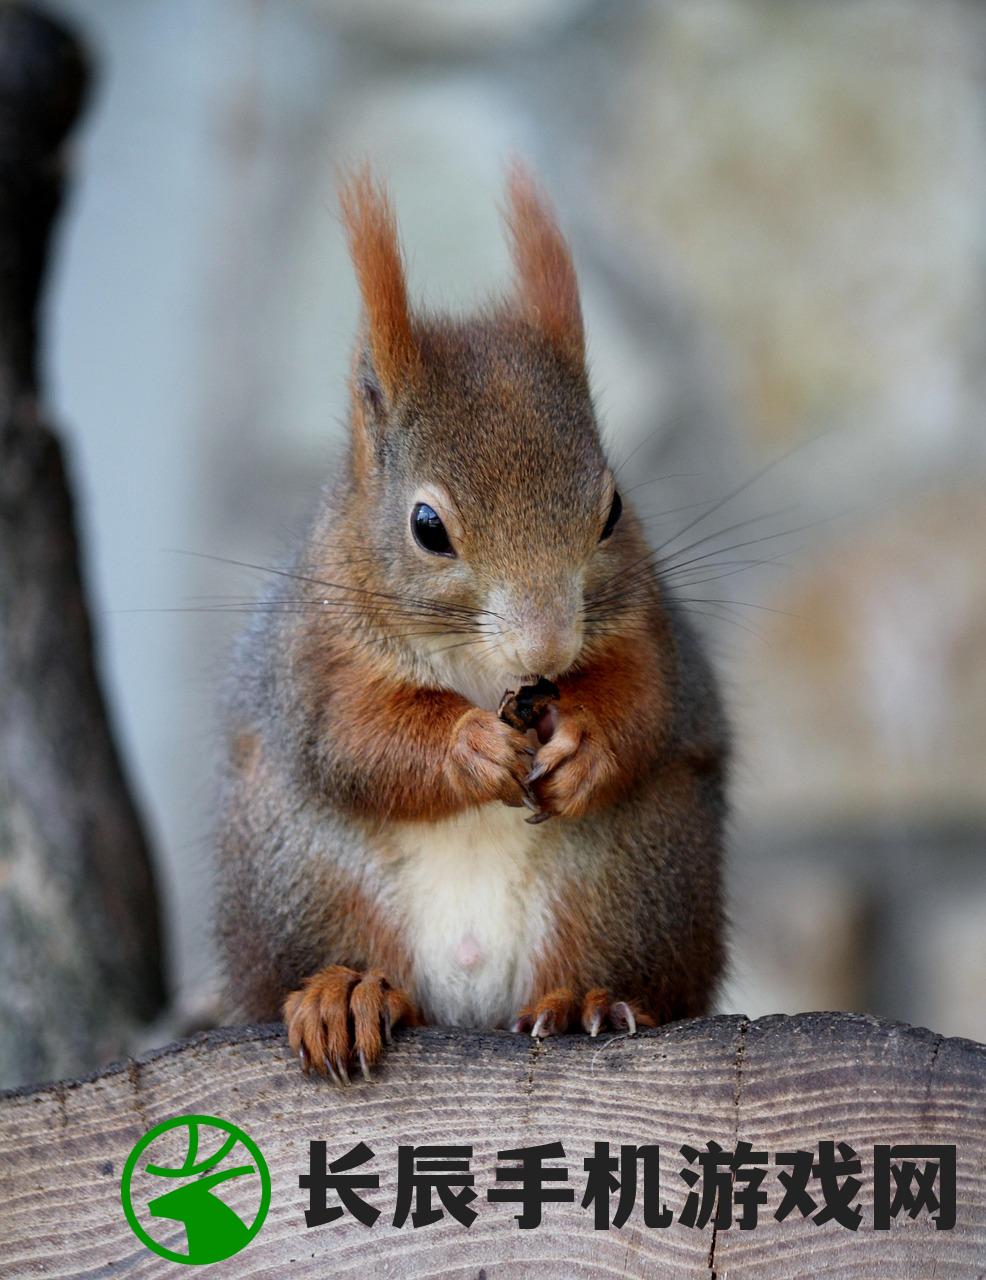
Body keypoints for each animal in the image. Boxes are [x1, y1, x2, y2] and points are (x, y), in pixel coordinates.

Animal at [217, 160, 722, 1080]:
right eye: (427, 527)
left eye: (612, 511)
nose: (548, 645)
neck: (489, 675)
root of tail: (472, 1000)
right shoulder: (317, 655)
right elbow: (352, 738)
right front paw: (470, 746)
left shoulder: (643, 623)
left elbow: (645, 699)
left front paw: (588, 745)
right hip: (301, 876)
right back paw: (344, 995)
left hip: (636, 875)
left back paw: (583, 1000)